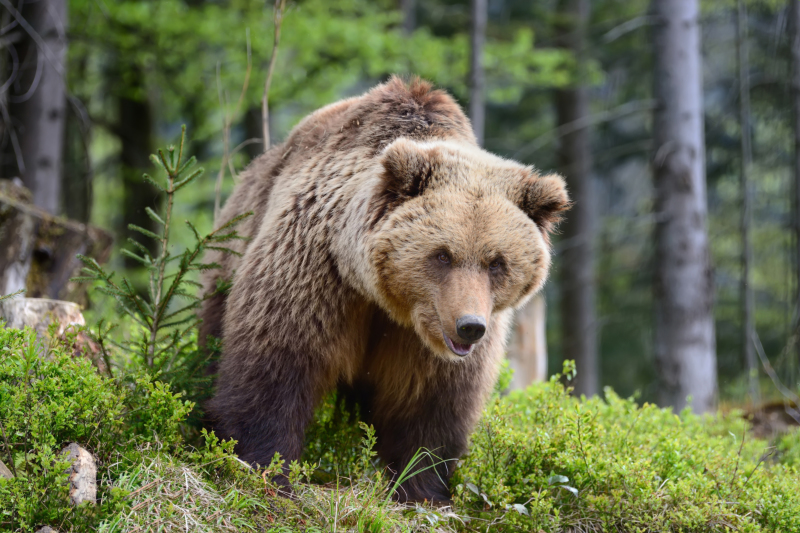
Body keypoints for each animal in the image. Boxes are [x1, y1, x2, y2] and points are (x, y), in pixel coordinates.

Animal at [200, 77, 568, 500]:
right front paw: (264, 468)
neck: (386, 300)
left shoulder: (431, 344)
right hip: (230, 249)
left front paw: (421, 488)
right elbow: (276, 367)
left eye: (497, 262)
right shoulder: (316, 273)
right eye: (442, 255)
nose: (470, 326)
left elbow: (431, 406)